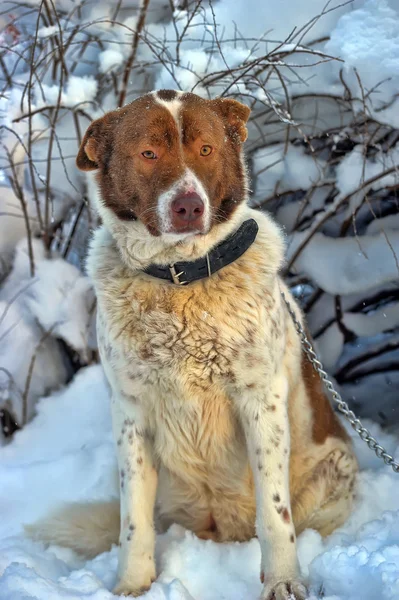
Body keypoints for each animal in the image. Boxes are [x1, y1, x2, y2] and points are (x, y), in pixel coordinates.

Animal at [28, 90, 360, 600]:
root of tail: (224, 528)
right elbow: (133, 519)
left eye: (206, 149)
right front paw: (132, 585)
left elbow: (275, 511)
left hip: (334, 472)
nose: (189, 206)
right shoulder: (131, 411)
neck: (179, 279)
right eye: (148, 153)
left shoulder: (261, 402)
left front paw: (283, 582)